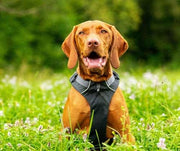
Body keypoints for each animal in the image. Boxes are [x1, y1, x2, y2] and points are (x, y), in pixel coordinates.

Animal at [61, 19, 134, 149]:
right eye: (81, 33)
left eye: (103, 31)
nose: (93, 42)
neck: (96, 86)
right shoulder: (67, 133)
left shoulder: (125, 133)